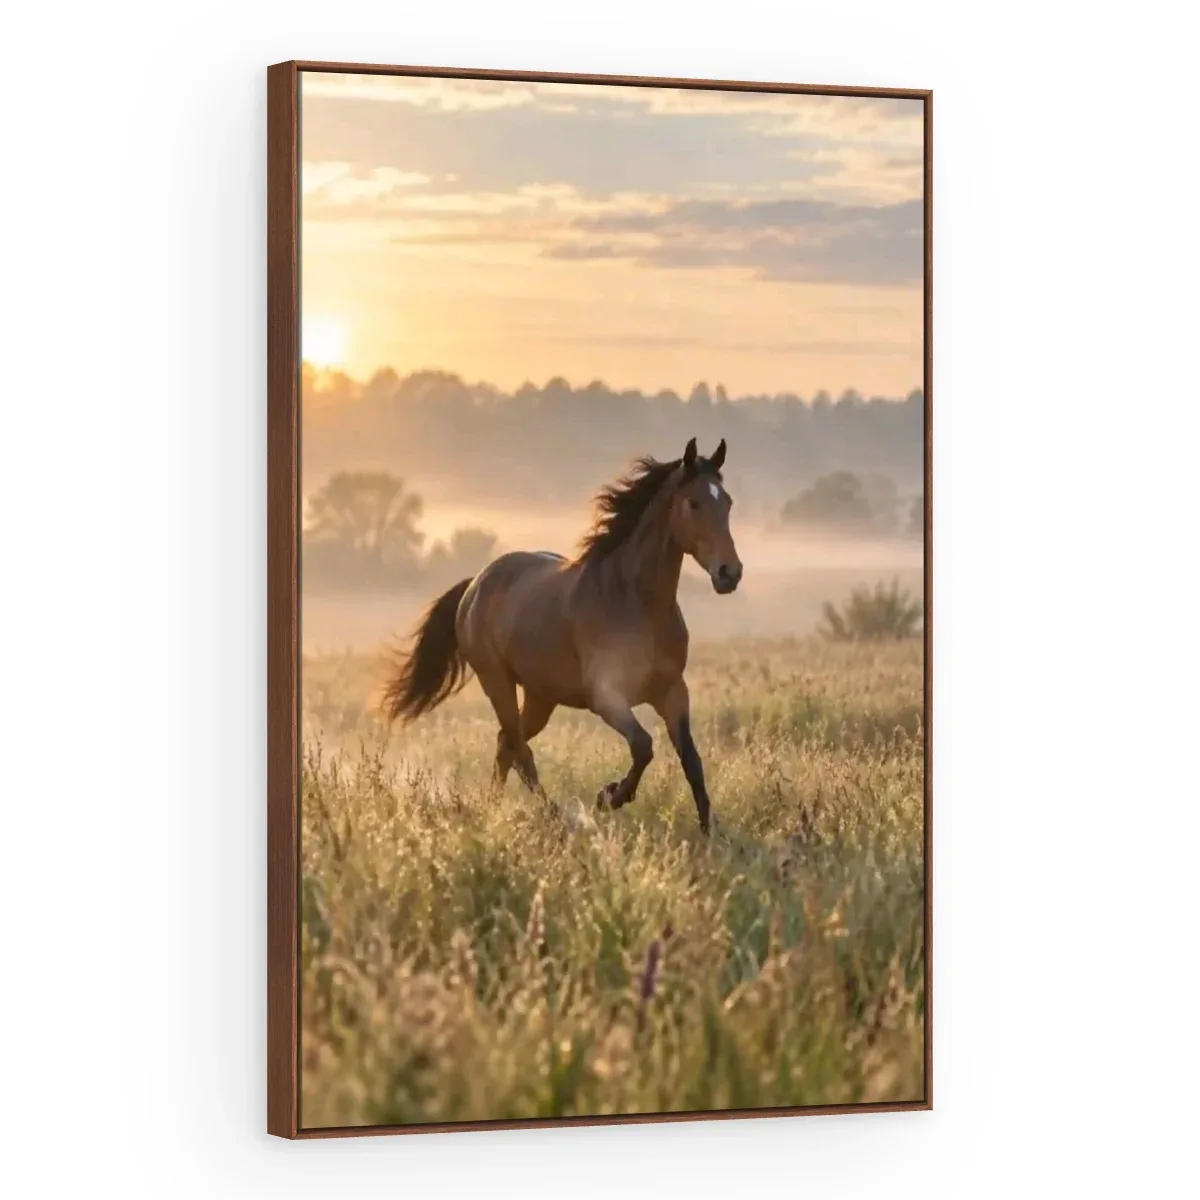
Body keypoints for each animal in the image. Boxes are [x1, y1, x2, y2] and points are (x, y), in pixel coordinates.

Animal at [382, 438, 742, 834]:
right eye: (693, 503)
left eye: (727, 501)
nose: (730, 573)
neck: (636, 603)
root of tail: (476, 583)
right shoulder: (607, 697)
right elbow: (643, 745)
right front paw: (609, 797)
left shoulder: (673, 692)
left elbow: (691, 760)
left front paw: (709, 830)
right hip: (497, 682)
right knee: (519, 750)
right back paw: (551, 814)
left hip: (541, 696)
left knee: (506, 744)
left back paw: (493, 810)